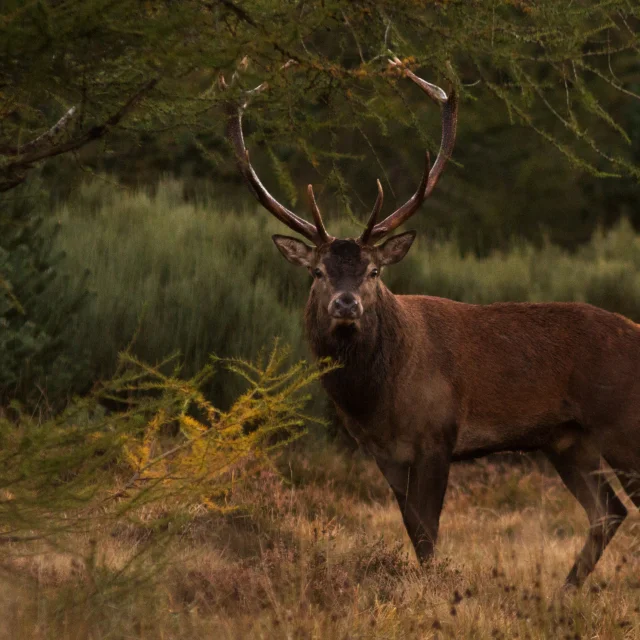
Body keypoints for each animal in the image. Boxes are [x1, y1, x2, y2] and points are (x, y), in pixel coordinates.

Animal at [219, 57, 636, 588]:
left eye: (374, 271)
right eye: (317, 272)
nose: (346, 305)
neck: (377, 399)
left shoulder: (439, 435)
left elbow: (429, 535)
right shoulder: (383, 453)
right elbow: (415, 535)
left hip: (623, 424)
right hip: (569, 441)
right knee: (608, 511)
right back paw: (564, 592)